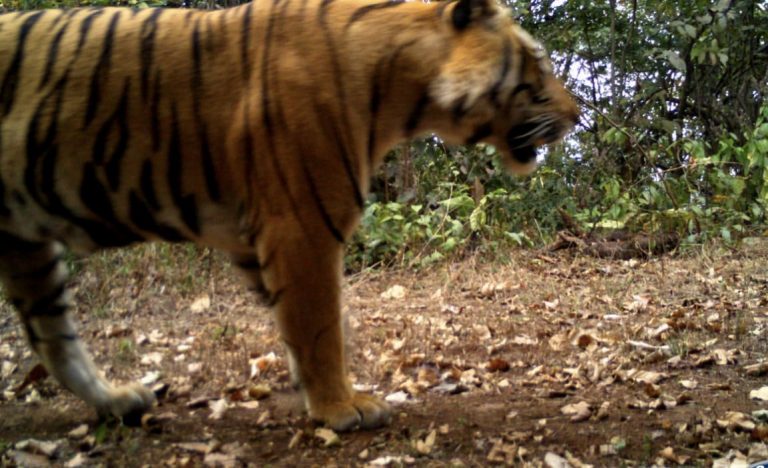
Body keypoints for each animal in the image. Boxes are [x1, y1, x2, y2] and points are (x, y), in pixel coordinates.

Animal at [0, 0, 578, 431]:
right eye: (539, 64)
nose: (577, 116)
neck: (402, 89)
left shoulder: (258, 239)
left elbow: (315, 327)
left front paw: (327, 394)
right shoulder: (301, 225)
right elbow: (319, 324)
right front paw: (342, 407)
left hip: (28, 247)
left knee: (53, 338)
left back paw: (117, 401)